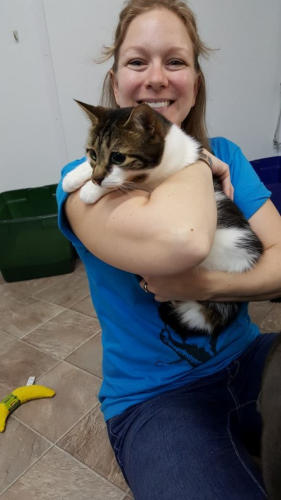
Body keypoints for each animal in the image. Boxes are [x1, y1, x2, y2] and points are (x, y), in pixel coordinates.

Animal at [62, 99, 262, 346]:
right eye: (92, 153)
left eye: (118, 157)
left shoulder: (156, 181)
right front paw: (74, 176)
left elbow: (124, 183)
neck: (168, 150)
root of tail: (247, 261)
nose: (96, 179)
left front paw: (91, 190)